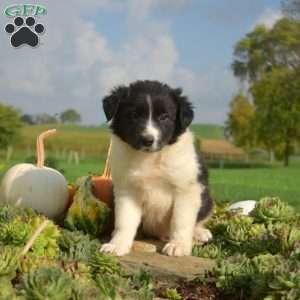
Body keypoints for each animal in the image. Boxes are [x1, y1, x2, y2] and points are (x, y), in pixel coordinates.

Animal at [101, 81, 213, 256]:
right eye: (134, 115)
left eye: (164, 117)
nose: (148, 140)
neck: (150, 158)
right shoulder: (127, 190)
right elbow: (124, 221)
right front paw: (117, 245)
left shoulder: (186, 189)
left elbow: (181, 221)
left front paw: (178, 246)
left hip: (206, 199)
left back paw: (200, 232)